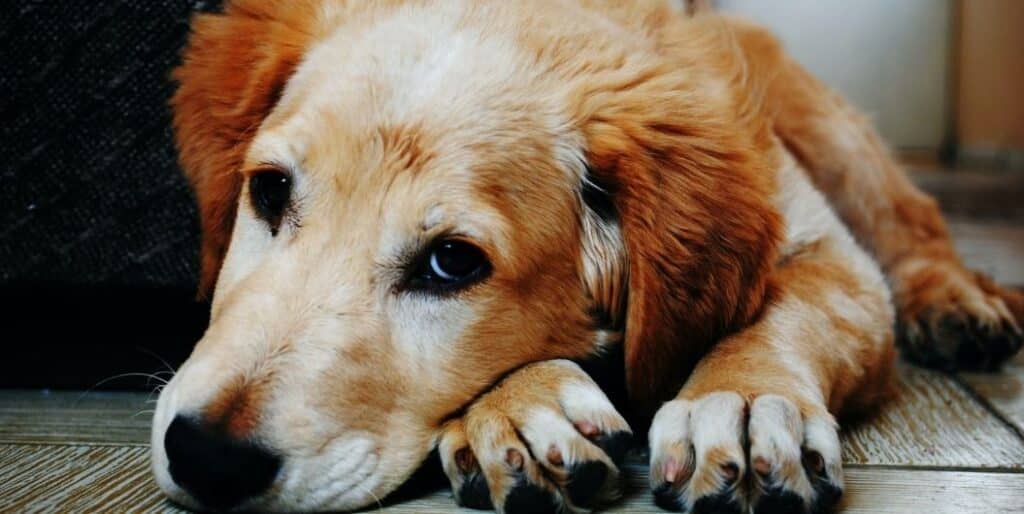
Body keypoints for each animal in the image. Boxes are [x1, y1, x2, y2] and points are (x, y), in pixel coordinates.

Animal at [151, 2, 1024, 511]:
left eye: (452, 263)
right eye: (269, 191)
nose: (205, 458)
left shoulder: (832, 257)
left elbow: (786, 315)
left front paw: (741, 402)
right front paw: (522, 408)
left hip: (832, 134)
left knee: (914, 222)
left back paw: (957, 304)